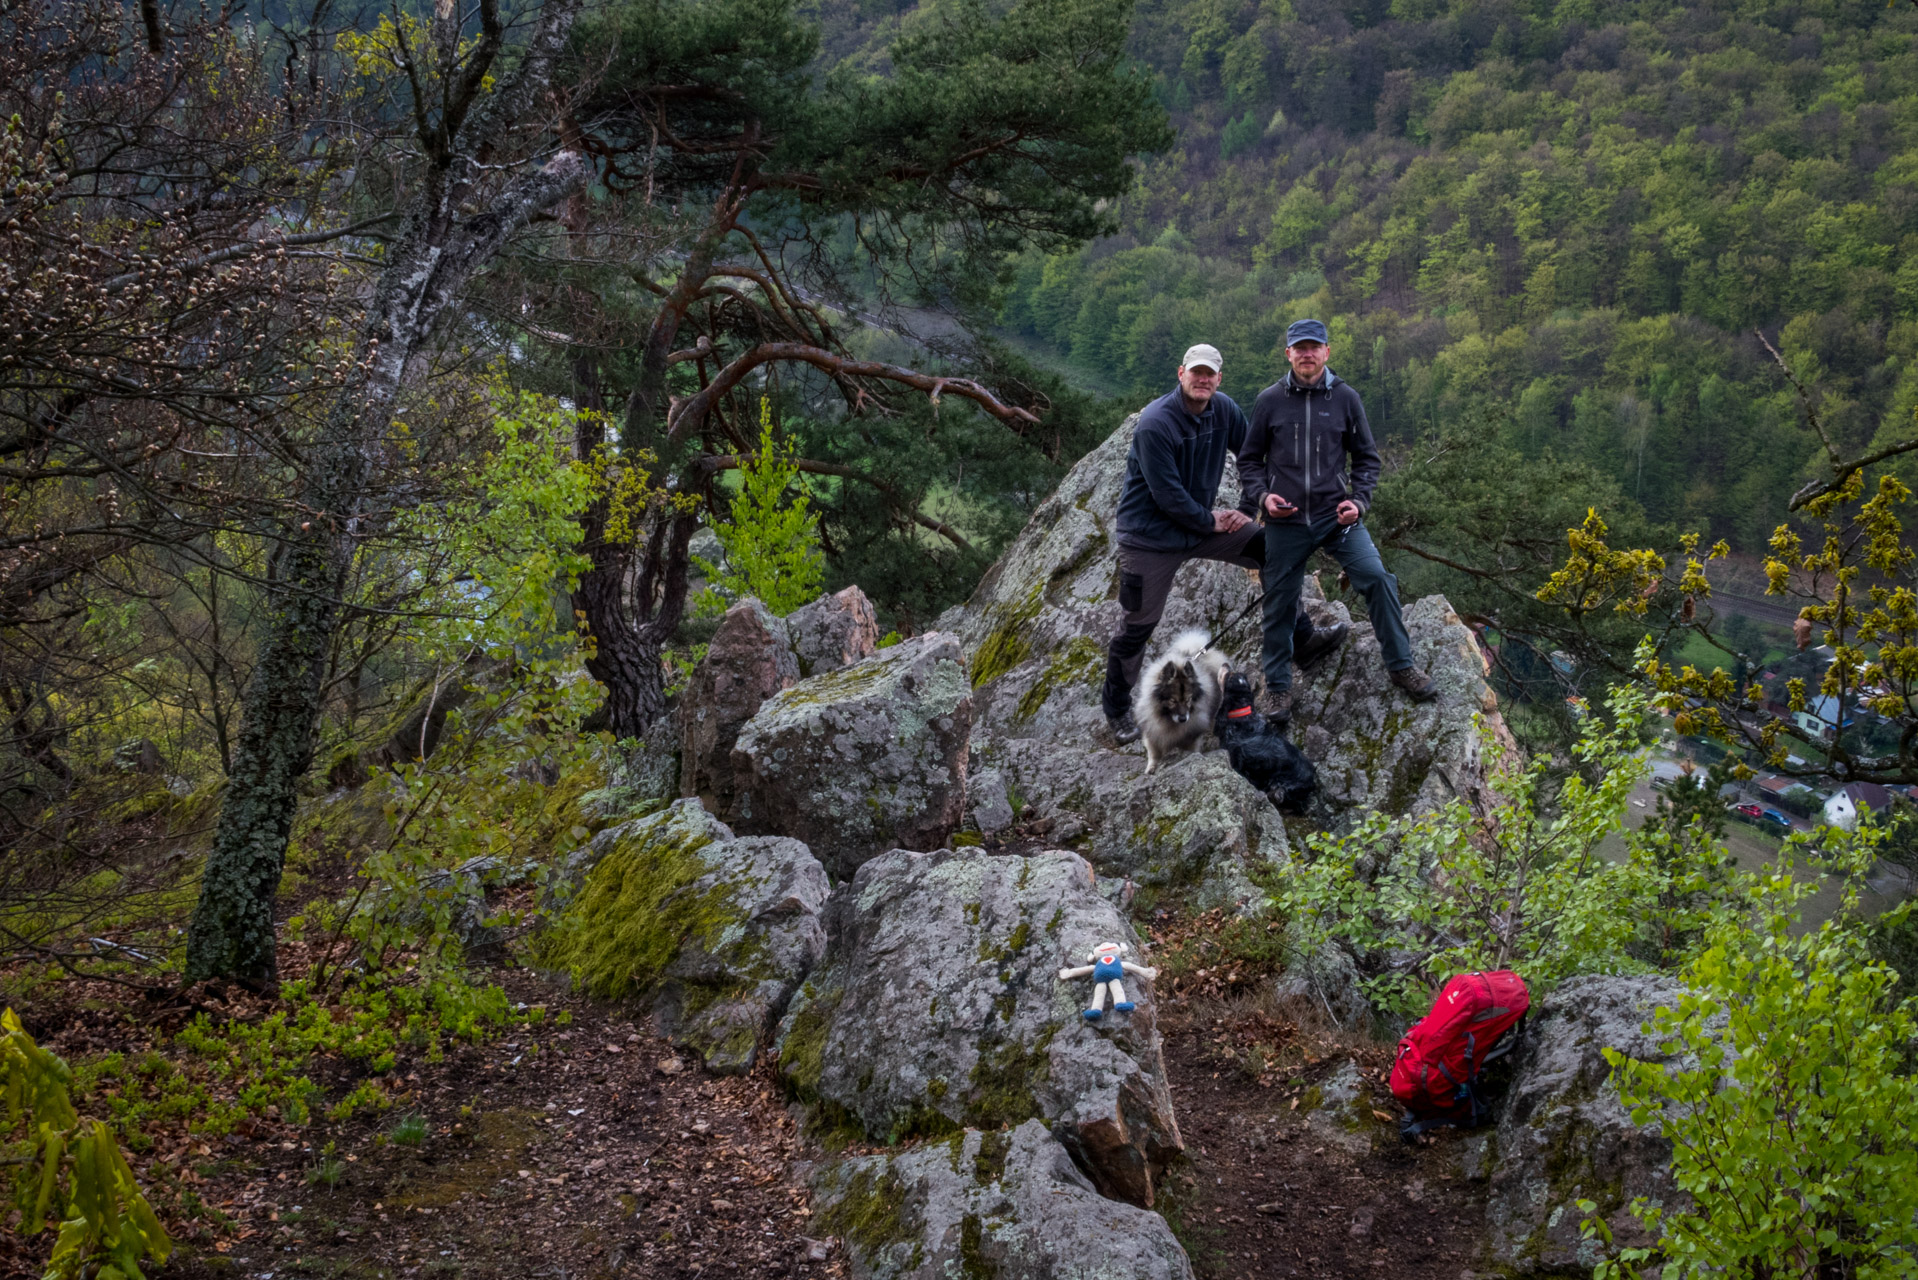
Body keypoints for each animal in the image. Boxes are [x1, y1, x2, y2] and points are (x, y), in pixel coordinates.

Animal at [1212, 671, 1319, 809]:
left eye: (1229, 677)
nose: (1227, 668)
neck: (1242, 715)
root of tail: (1312, 782)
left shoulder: (1237, 761)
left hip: (1282, 787)